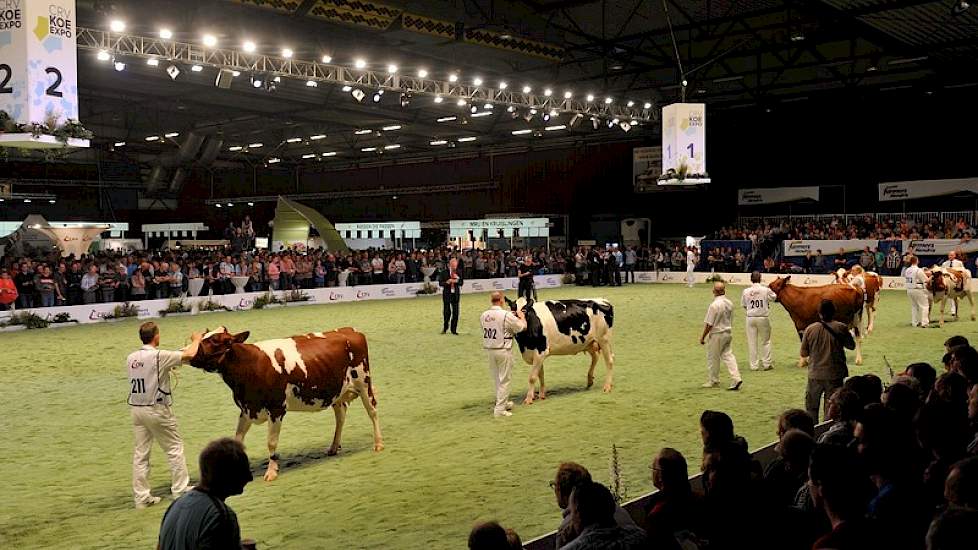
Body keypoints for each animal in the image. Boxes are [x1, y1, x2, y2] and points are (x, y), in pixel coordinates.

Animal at [189, 328, 384, 484]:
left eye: (215, 340)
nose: (192, 355)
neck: (251, 365)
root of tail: (350, 330)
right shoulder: (246, 410)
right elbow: (237, 439)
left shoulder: (276, 409)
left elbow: (271, 442)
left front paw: (271, 471)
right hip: (337, 392)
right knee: (341, 415)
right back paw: (334, 447)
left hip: (363, 382)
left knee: (372, 411)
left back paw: (378, 444)